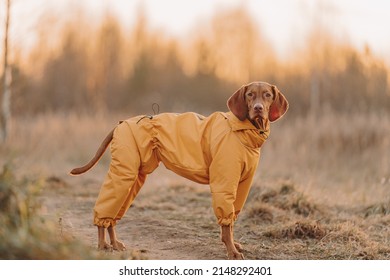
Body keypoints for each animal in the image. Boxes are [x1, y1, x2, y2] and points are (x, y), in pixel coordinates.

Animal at [70, 81, 288, 260]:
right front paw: (232, 252)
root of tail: (120, 124)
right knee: (105, 211)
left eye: (267, 95)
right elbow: (226, 223)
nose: (258, 108)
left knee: (113, 213)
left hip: (134, 177)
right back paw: (102, 245)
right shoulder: (225, 181)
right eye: (250, 94)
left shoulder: (242, 184)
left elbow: (231, 220)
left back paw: (114, 243)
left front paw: (233, 245)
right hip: (125, 173)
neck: (244, 132)